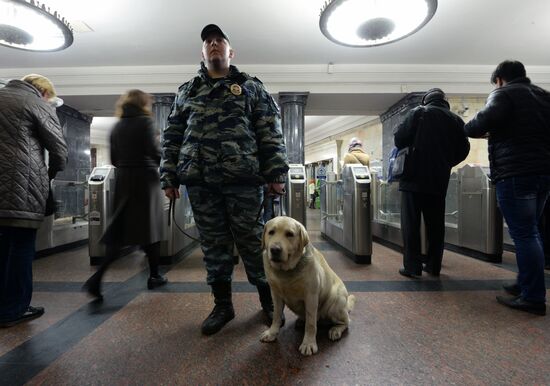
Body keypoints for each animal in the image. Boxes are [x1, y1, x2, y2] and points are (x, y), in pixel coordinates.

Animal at [260, 216, 356, 354]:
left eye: (289, 234)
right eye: (271, 232)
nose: (275, 249)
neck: (286, 271)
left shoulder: (311, 296)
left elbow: (310, 323)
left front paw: (308, 343)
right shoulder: (276, 295)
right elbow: (276, 316)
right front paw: (272, 333)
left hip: (334, 303)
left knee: (346, 321)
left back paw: (335, 330)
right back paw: (301, 321)